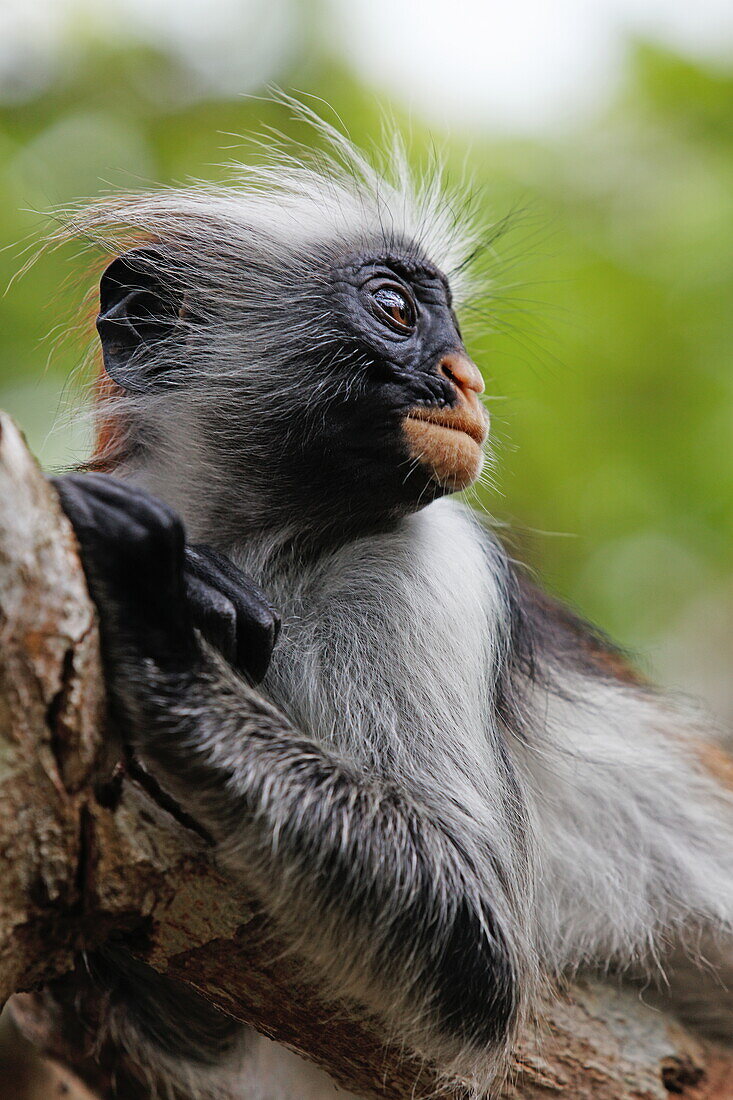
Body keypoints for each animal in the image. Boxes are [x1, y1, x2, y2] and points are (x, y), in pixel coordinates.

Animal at [29, 113, 733, 1100]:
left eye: (451, 323)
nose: (466, 379)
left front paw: (157, 613)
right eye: (397, 308)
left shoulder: (421, 571)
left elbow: (478, 951)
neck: (269, 536)